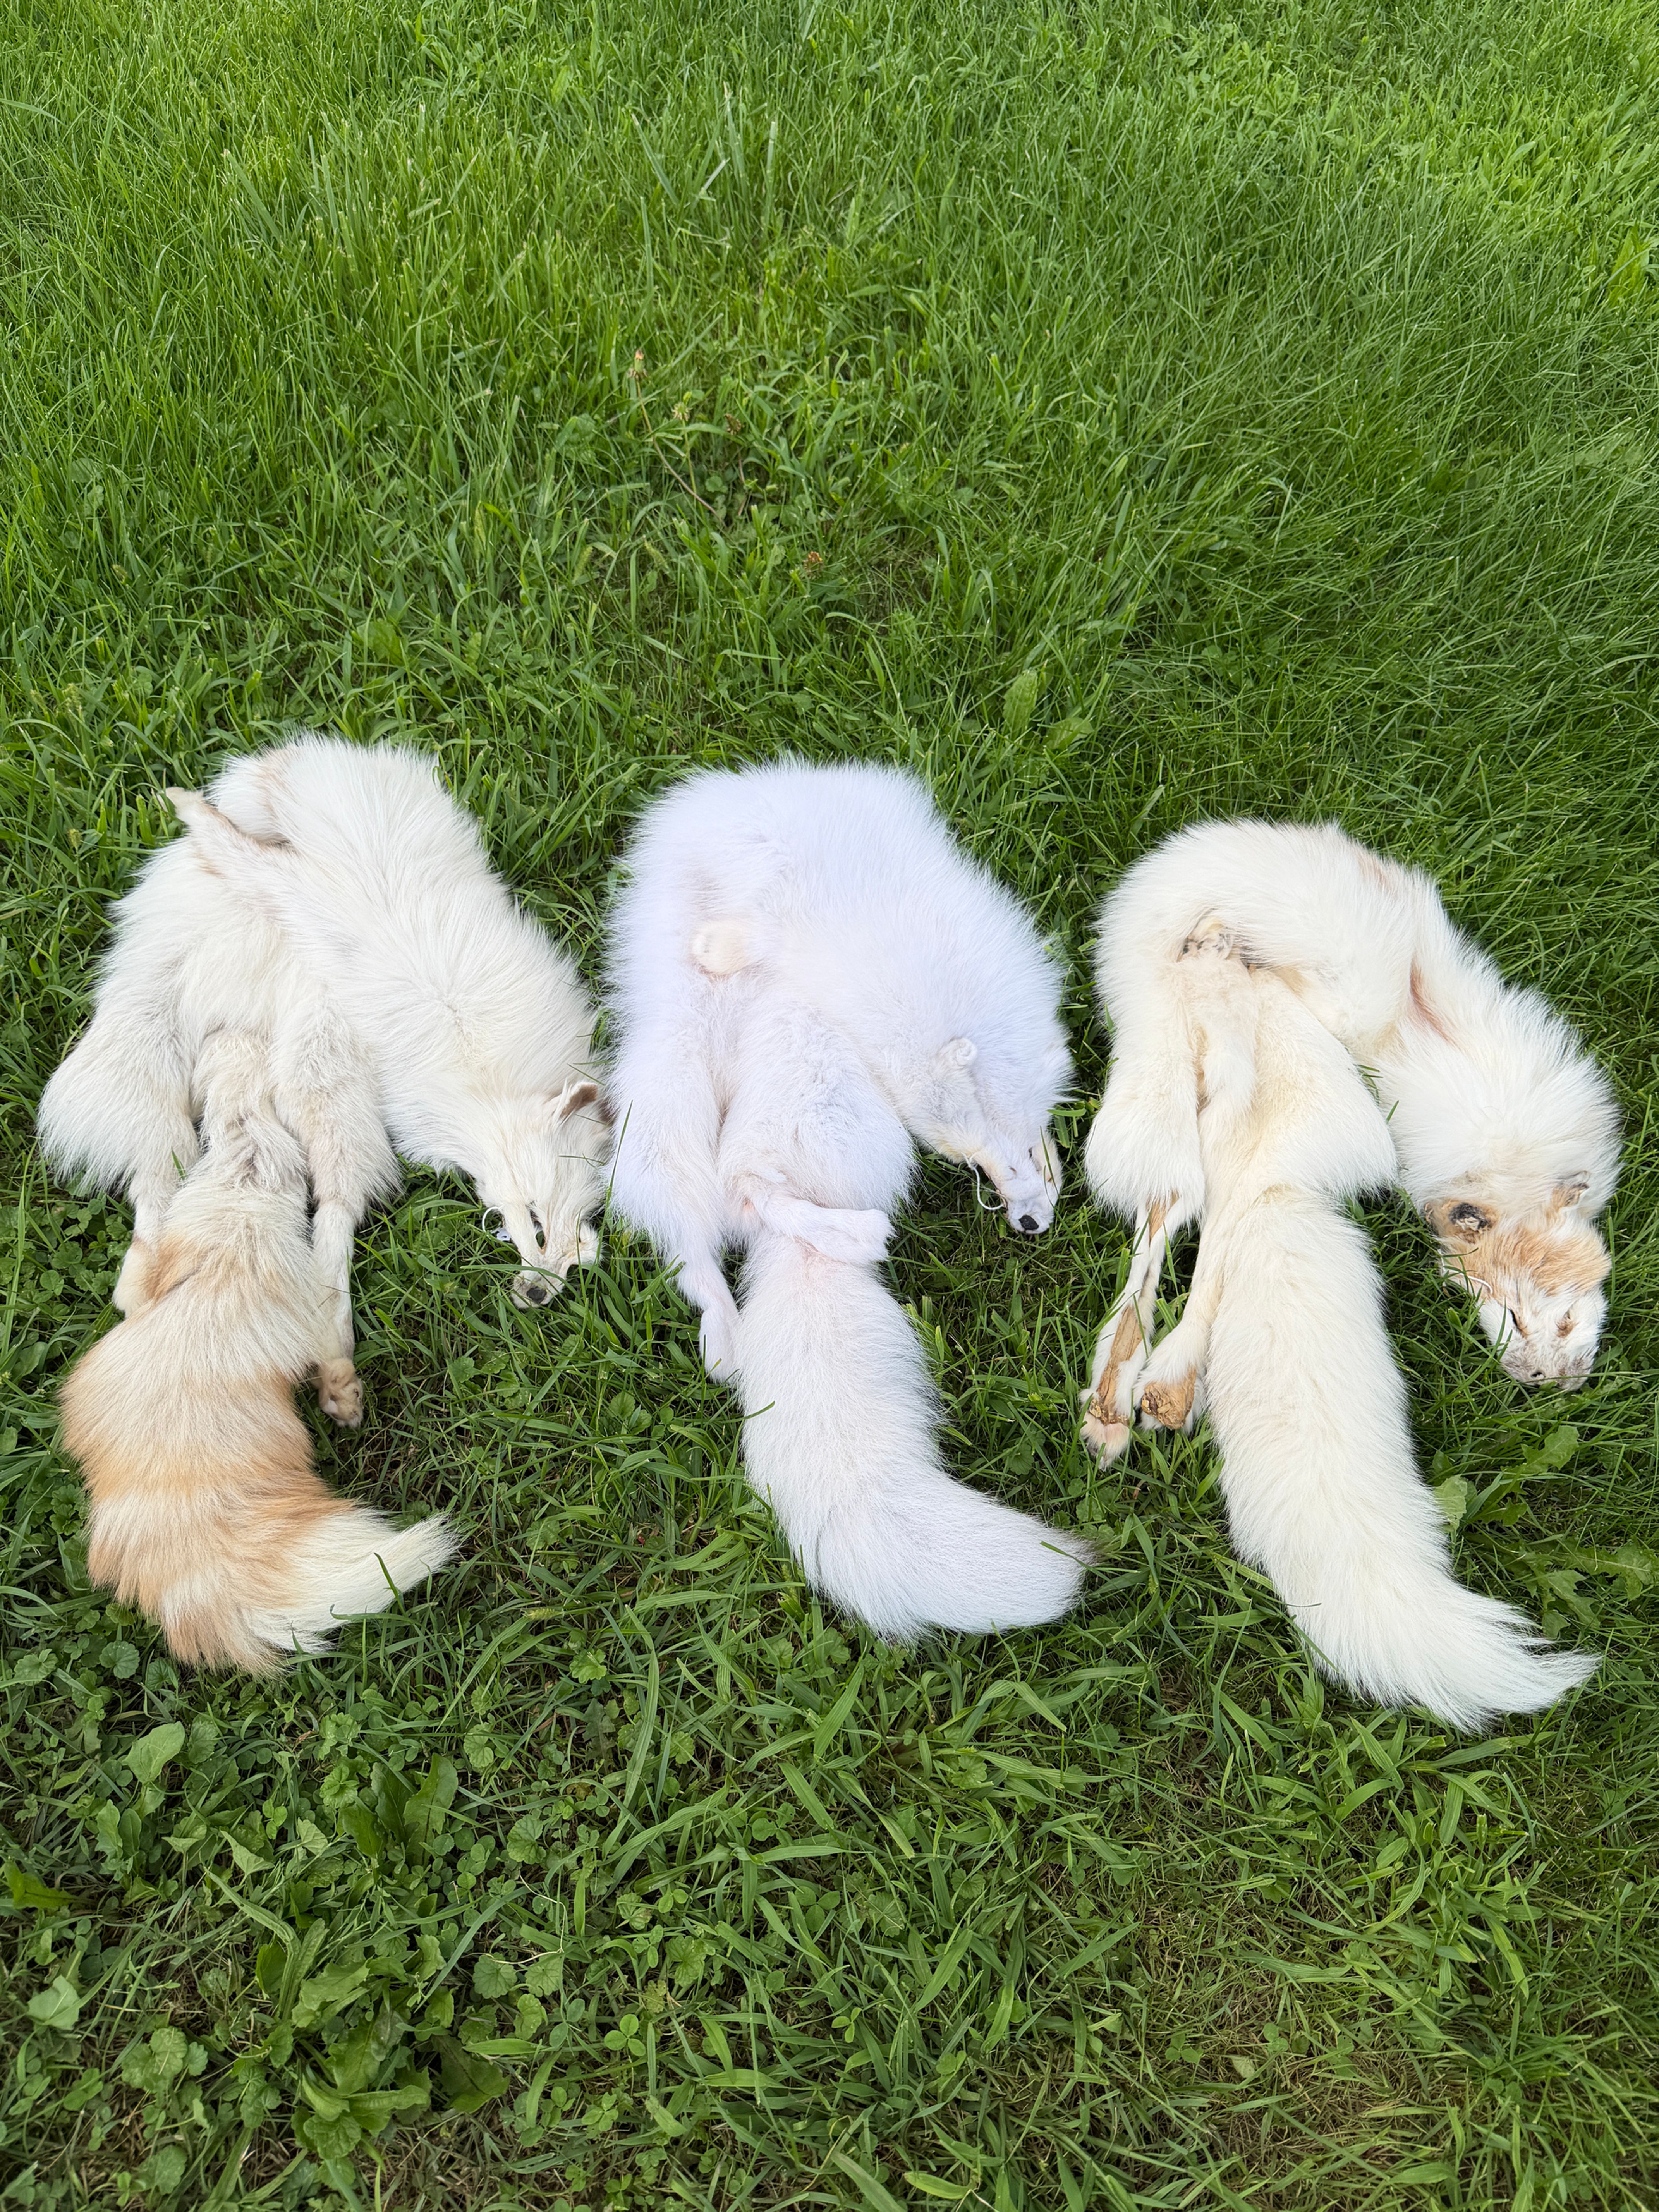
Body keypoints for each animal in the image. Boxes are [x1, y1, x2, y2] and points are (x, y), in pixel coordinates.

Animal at [163, 734, 609, 1309]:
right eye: (535, 1224)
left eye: (579, 1257)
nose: (536, 1296)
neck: (484, 1081)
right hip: (290, 886)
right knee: (232, 843)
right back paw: (182, 799)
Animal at [605, 759, 1087, 1640]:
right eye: (964, 1158)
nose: (1031, 1223)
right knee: (721, 1236)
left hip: (672, 1127)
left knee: (698, 1247)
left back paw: (730, 1334)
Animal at [1083, 819, 1620, 1433]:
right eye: (1519, 1315)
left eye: (1566, 1321)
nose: (1546, 1381)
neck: (1514, 1173)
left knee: (1170, 1211)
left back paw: (1116, 1404)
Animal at [1088, 927, 1595, 1730]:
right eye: (1535, 1318)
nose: (1547, 1377)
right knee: (1209, 1208)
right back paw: (1150, 1391)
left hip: (1186, 1126)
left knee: (1185, 1209)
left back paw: (1121, 1403)